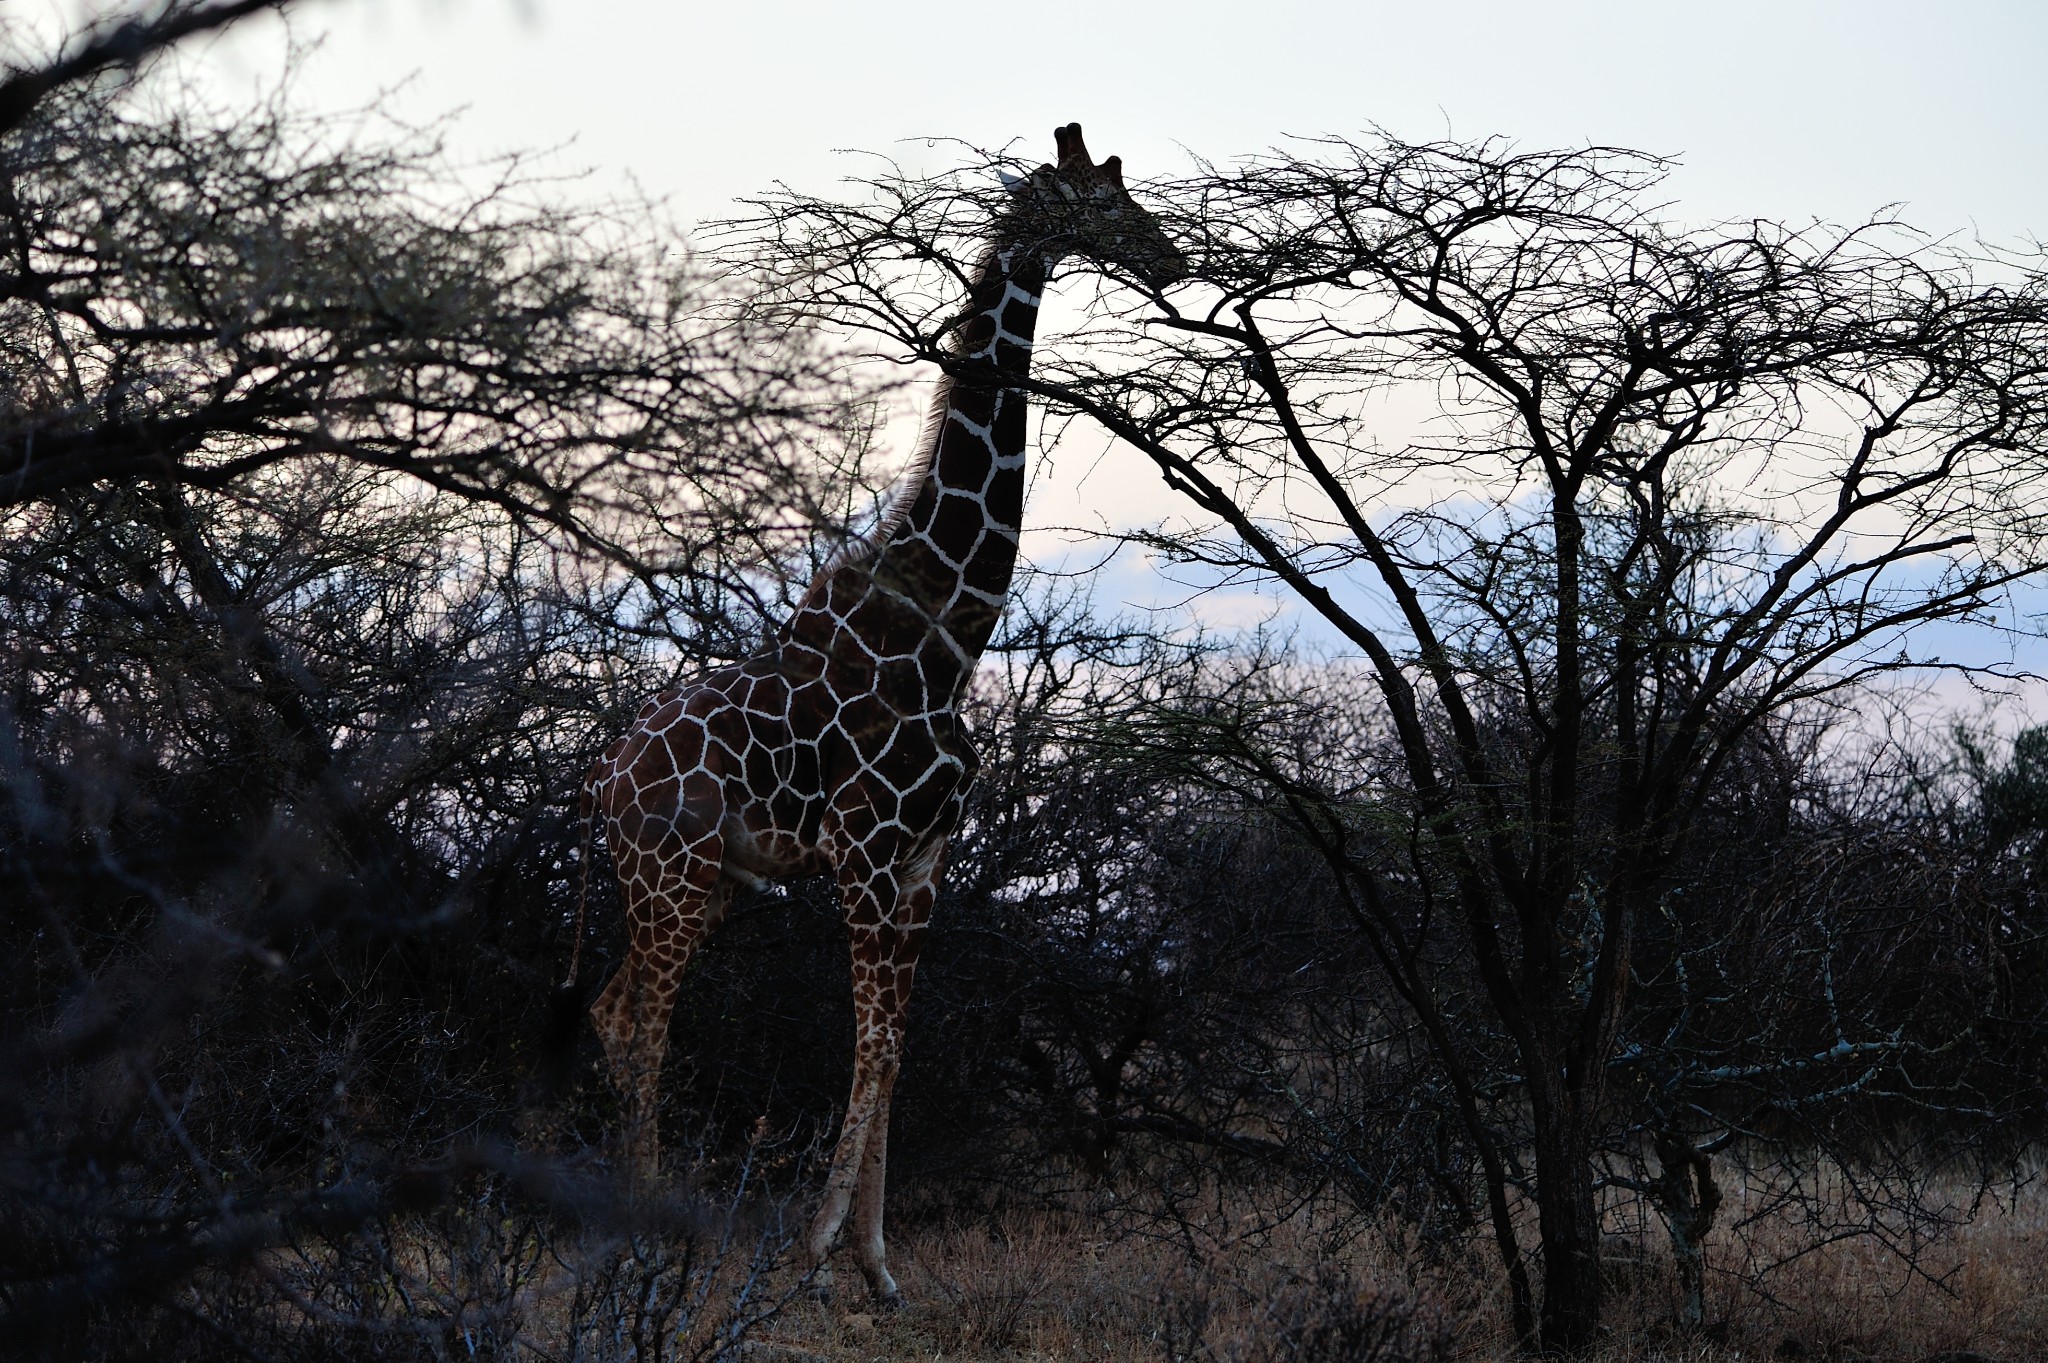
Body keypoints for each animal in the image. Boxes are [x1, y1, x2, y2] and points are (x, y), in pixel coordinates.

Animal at [581, 129, 1187, 1309]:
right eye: (1104, 204)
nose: (1174, 259)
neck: (951, 634)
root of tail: (607, 780)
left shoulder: (923, 861)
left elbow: (896, 1047)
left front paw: (875, 1264)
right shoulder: (862, 854)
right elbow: (865, 1045)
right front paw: (815, 1254)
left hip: (708, 883)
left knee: (611, 1011)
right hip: (670, 876)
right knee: (643, 1023)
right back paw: (636, 1238)